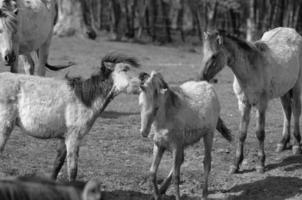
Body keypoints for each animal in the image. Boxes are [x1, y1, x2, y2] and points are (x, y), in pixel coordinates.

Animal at [0, 52, 140, 181]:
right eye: (124, 69)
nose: (143, 78)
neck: (85, 99)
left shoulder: (64, 137)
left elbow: (57, 164)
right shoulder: (74, 137)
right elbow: (72, 170)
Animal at [138, 71, 232, 199]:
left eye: (156, 107)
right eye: (140, 104)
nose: (144, 132)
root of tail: (208, 86)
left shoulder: (176, 146)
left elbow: (176, 176)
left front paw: (177, 196)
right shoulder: (159, 145)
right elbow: (152, 172)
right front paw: (156, 196)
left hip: (208, 135)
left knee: (207, 162)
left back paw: (204, 194)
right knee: (181, 160)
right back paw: (163, 189)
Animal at [199, 27, 302, 174]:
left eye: (214, 55)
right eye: (203, 54)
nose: (201, 77)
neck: (251, 70)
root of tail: (292, 31)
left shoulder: (261, 104)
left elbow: (260, 133)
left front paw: (260, 164)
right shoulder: (243, 104)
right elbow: (242, 133)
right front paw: (236, 164)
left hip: (297, 86)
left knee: (296, 110)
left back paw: (296, 145)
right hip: (284, 89)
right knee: (287, 111)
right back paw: (283, 142)